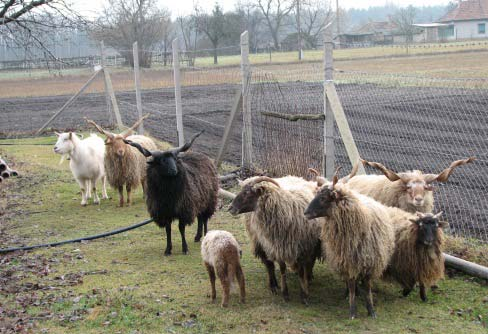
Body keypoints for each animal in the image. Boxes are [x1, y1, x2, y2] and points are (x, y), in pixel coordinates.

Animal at [230, 176, 324, 304]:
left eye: (247, 192)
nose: (230, 208)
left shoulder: (302, 246)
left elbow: (301, 270)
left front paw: (304, 294)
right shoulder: (278, 246)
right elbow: (282, 269)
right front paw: (285, 293)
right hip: (259, 241)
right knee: (269, 265)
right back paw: (273, 285)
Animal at [304, 167, 396, 318]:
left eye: (323, 198)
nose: (305, 213)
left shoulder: (369, 262)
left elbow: (368, 288)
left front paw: (371, 310)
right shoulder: (348, 262)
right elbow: (352, 286)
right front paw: (352, 311)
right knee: (349, 283)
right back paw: (348, 293)